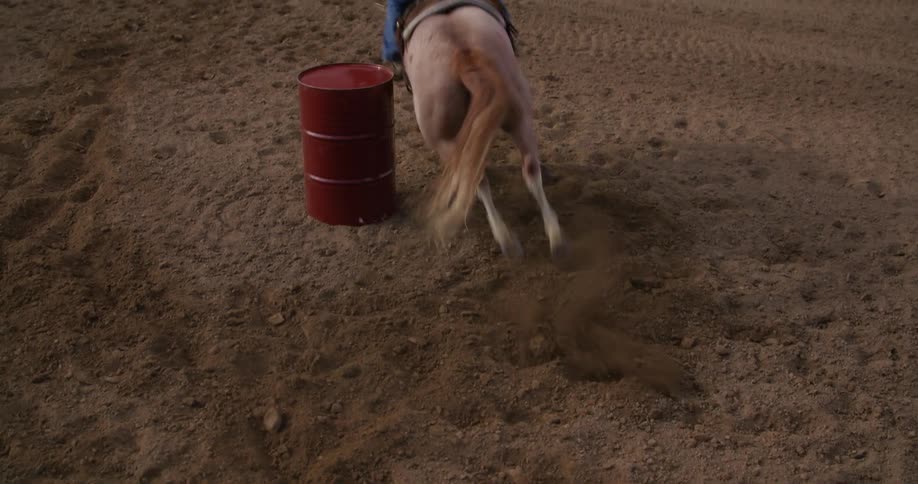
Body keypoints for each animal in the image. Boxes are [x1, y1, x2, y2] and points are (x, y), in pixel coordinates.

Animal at [396, 0, 568, 261]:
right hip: (520, 117)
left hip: (444, 139)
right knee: (529, 168)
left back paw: (507, 241)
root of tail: (463, 52)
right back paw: (555, 239)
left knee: (476, 179)